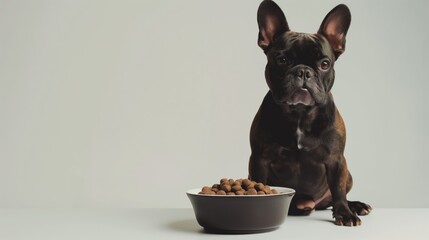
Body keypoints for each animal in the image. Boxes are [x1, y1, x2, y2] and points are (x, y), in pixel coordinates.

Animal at [249, 0, 370, 226]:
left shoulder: (336, 160)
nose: (303, 71)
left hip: (348, 174)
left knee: (337, 195)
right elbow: (258, 184)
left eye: (324, 64)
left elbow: (338, 189)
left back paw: (355, 206)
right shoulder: (259, 158)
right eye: (282, 60)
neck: (300, 113)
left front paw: (345, 213)